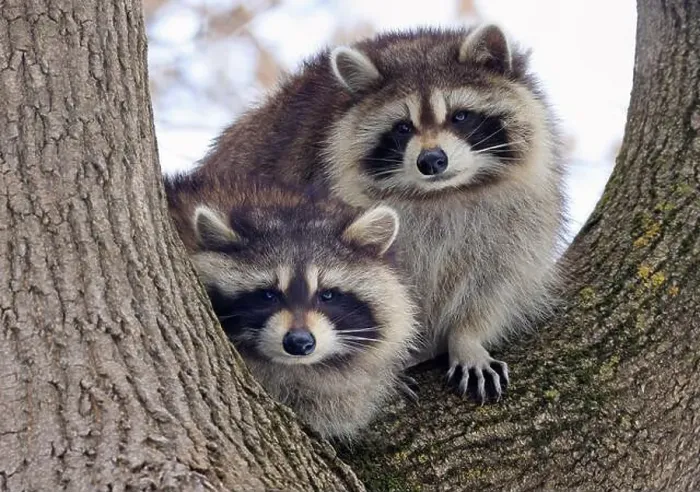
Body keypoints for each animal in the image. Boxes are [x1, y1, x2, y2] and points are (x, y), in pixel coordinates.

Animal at [194, 24, 566, 402]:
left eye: (460, 116)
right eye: (403, 127)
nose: (432, 160)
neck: (442, 193)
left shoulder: (520, 214)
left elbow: (496, 282)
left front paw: (468, 338)